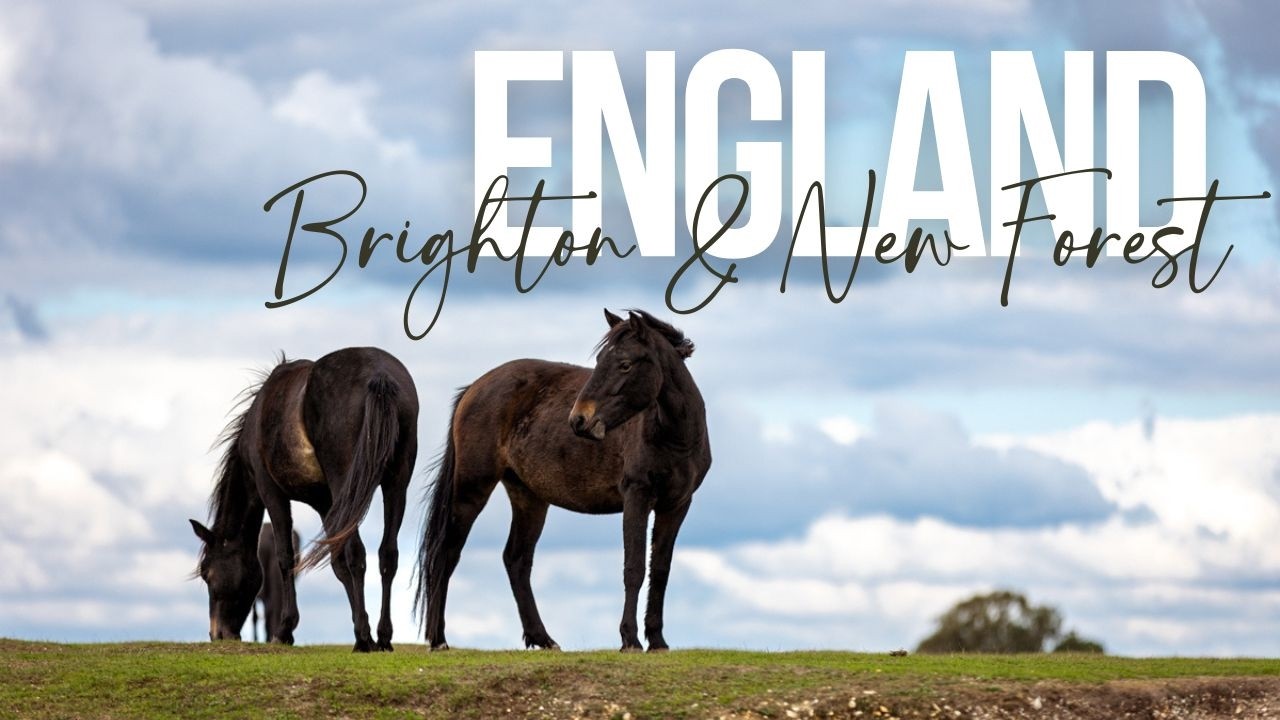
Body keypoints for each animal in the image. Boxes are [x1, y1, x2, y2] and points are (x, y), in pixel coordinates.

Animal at [190, 347, 419, 652]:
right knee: (387, 554)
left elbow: (286, 556)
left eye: (207, 573)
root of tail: (379, 375)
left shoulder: (271, 492)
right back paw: (382, 636)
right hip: (395, 485)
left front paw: (285, 630)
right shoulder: (326, 503)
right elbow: (337, 562)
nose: (218, 633)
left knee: (358, 553)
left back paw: (363, 637)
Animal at [415, 309, 711, 652]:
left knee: (516, 560)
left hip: (529, 498)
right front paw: (630, 639)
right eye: (600, 360)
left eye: (625, 364)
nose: (579, 420)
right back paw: (439, 639)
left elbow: (660, 570)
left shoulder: (676, 505)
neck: (674, 438)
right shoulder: (636, 497)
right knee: (447, 553)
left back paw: (542, 638)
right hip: (472, 489)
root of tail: (474, 387)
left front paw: (658, 640)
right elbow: (634, 567)